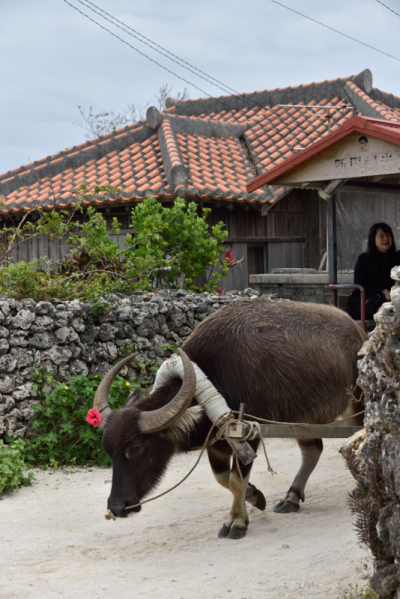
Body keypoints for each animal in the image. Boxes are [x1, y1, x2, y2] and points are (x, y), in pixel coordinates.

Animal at [93, 300, 366, 540]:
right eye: (108, 450)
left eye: (135, 448)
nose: (117, 506)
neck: (215, 376)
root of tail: (358, 331)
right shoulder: (217, 442)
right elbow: (224, 479)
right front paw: (255, 496)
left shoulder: (249, 435)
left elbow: (236, 479)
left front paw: (236, 521)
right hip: (303, 418)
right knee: (313, 450)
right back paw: (291, 498)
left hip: (357, 406)